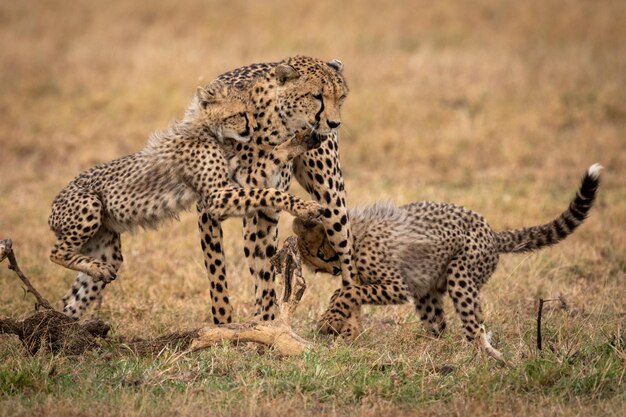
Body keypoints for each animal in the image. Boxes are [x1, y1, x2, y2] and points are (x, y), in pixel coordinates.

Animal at [49, 81, 324, 316]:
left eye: (251, 112)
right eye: (239, 114)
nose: (252, 129)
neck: (208, 129)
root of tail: (52, 209)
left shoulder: (239, 181)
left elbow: (272, 158)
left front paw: (300, 140)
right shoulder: (217, 197)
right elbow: (269, 191)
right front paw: (305, 206)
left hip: (106, 249)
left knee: (75, 297)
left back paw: (70, 326)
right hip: (90, 205)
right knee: (55, 253)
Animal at [199, 56, 356, 322]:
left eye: (341, 97)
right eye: (316, 96)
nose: (334, 123)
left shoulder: (266, 212)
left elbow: (266, 271)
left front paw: (268, 321)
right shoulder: (209, 210)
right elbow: (217, 271)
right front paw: (223, 321)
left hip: (333, 205)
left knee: (347, 262)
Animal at [292, 164, 600, 360]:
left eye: (320, 255)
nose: (333, 269)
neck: (353, 233)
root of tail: (493, 233)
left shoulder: (396, 285)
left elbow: (349, 291)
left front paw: (328, 320)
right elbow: (347, 293)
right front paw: (336, 322)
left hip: (461, 275)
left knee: (475, 327)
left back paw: (483, 356)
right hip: (427, 291)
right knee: (440, 325)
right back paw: (431, 349)